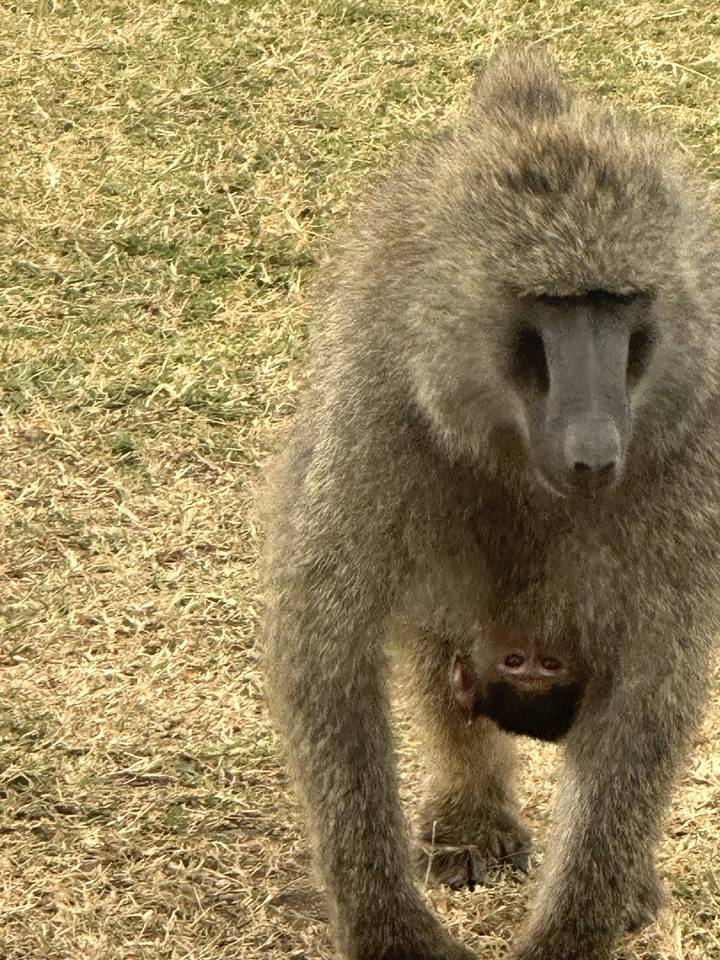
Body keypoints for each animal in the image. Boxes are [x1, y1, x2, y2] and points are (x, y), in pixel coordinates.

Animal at [261, 47, 720, 960]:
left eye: (616, 303)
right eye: (552, 306)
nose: (594, 453)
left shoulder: (690, 445)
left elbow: (652, 689)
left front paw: (574, 929)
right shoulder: (381, 403)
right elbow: (328, 648)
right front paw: (391, 929)